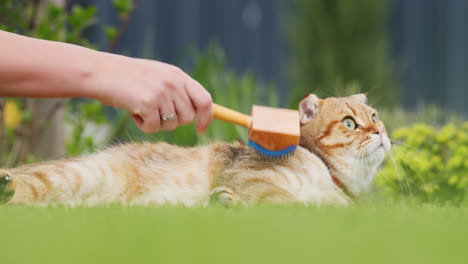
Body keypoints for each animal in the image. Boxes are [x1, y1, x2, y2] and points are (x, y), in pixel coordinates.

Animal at [0, 94, 392, 207]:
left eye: (374, 116)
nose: (381, 131)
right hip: (76, 174)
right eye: (349, 123)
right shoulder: (252, 179)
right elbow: (285, 201)